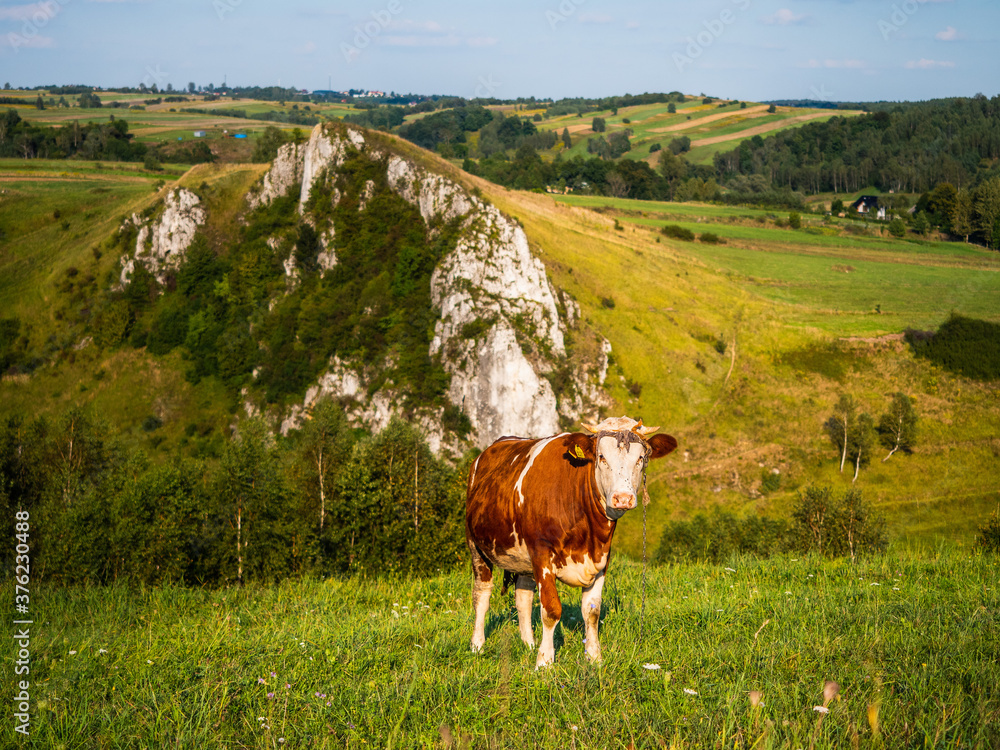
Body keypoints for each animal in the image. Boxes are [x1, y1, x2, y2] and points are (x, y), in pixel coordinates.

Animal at [468, 418, 680, 668]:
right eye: (601, 457)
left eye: (640, 458)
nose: (623, 498)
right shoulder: (541, 553)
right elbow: (551, 610)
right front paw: (544, 662)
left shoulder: (601, 557)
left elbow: (592, 611)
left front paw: (594, 658)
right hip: (476, 545)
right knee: (482, 595)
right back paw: (477, 645)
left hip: (522, 557)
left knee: (523, 597)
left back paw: (528, 644)